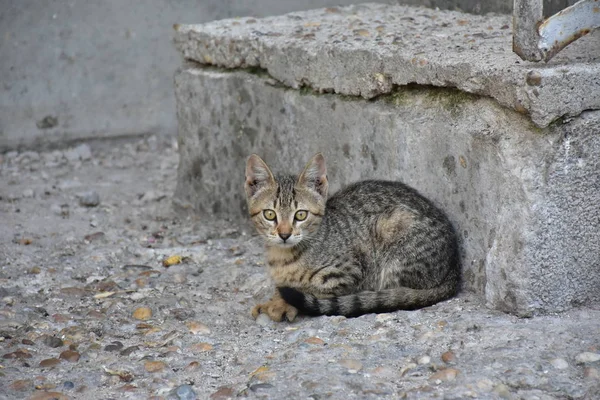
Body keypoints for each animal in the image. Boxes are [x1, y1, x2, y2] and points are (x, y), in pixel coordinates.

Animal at [244, 153, 460, 322]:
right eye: (270, 214)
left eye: (301, 215)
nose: (284, 234)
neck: (283, 257)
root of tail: (454, 266)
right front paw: (273, 299)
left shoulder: (348, 274)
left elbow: (312, 290)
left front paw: (282, 303)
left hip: (394, 233)